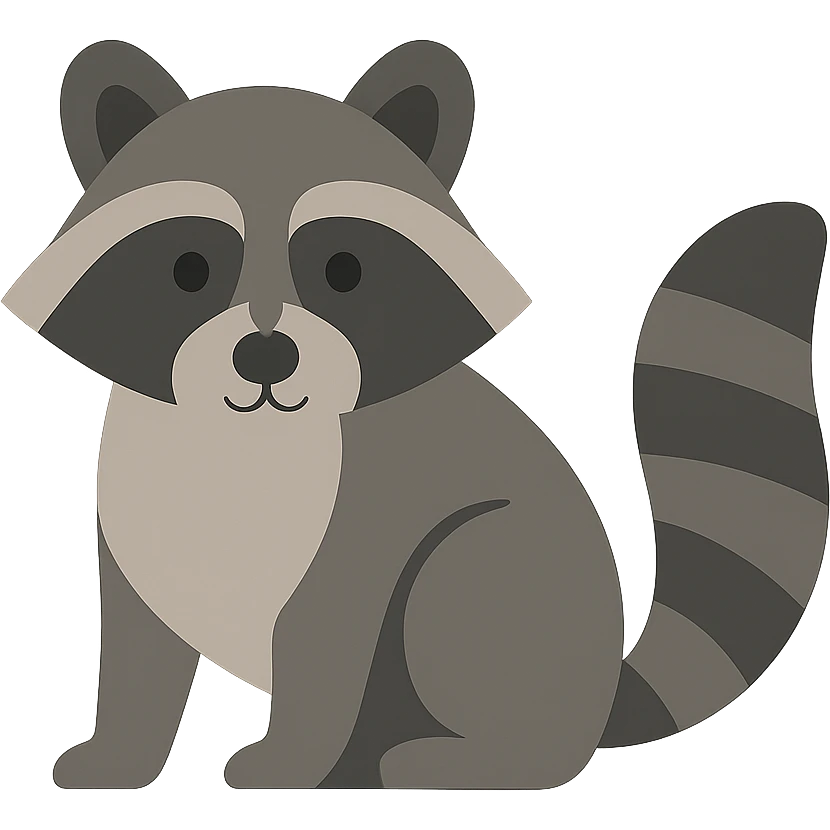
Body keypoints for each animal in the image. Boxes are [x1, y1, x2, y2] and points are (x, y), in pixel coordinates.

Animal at [5, 40, 827, 791]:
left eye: (343, 271)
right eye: (188, 271)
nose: (266, 356)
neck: (244, 436)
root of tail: (601, 695)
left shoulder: (365, 522)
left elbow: (325, 647)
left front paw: (288, 760)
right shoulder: (139, 520)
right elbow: (137, 650)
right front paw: (118, 756)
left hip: (496, 582)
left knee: (462, 603)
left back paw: (462, 760)